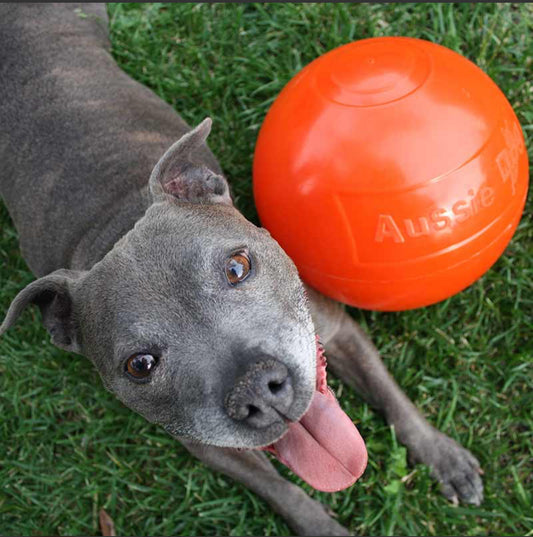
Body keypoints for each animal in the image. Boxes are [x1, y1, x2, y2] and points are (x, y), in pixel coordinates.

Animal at [0, 3, 482, 532]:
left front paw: (442, 456)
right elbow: (283, 490)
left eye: (237, 267)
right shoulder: (210, 445)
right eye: (140, 365)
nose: (258, 391)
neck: (118, 222)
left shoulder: (337, 329)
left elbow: (391, 396)